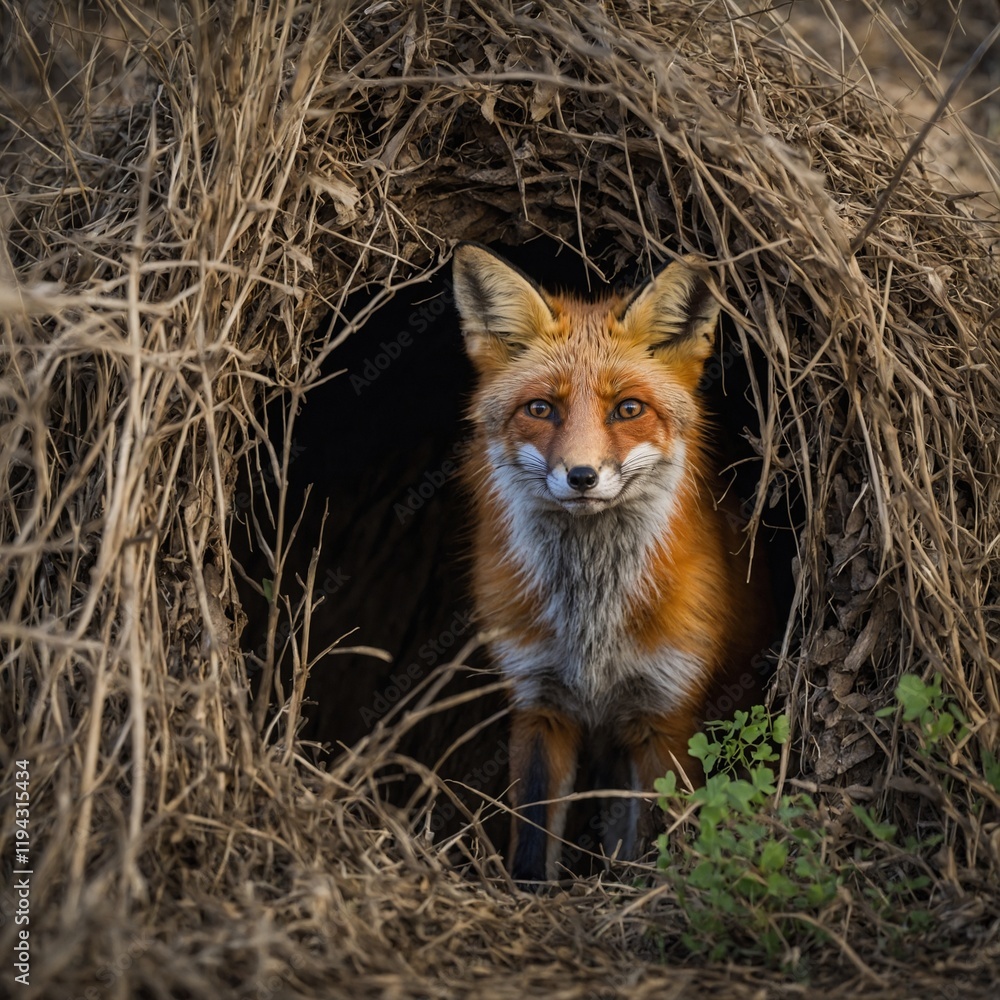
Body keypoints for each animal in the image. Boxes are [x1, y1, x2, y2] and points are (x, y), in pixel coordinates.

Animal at [451, 242, 774, 885]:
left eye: (628, 408)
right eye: (540, 408)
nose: (581, 476)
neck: (591, 623)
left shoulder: (665, 715)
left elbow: (654, 837)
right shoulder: (539, 703)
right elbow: (532, 835)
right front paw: (531, 892)